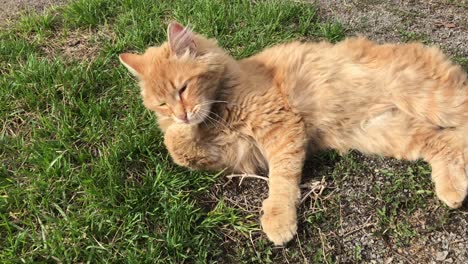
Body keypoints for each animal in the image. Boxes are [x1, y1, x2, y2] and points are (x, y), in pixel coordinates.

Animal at [120, 22, 468, 245]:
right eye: (162, 104)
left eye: (182, 88)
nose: (180, 114)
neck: (222, 112)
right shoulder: (233, 157)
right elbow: (176, 148)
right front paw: (179, 130)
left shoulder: (281, 131)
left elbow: (281, 181)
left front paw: (278, 220)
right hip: (389, 133)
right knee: (448, 144)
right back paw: (452, 189)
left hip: (431, 101)